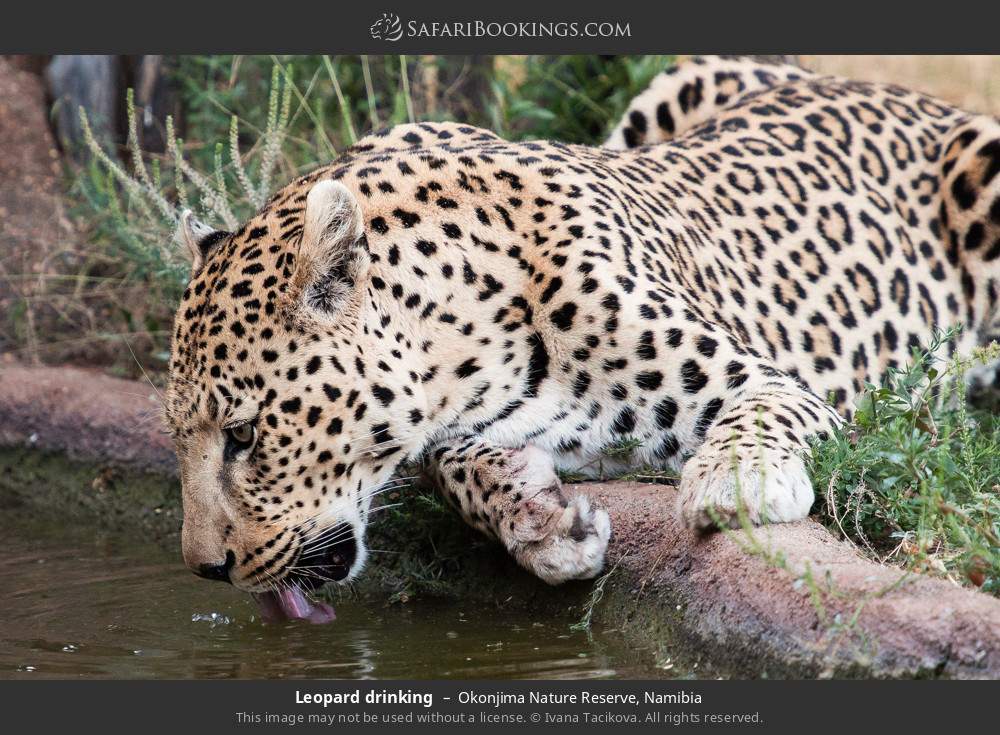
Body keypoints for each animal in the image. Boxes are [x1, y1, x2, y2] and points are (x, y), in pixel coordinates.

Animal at [166, 57, 1000, 620]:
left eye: (244, 434)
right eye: (181, 438)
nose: (204, 569)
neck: (464, 341)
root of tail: (899, 92)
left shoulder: (775, 381)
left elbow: (756, 415)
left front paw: (735, 481)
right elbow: (462, 466)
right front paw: (541, 521)